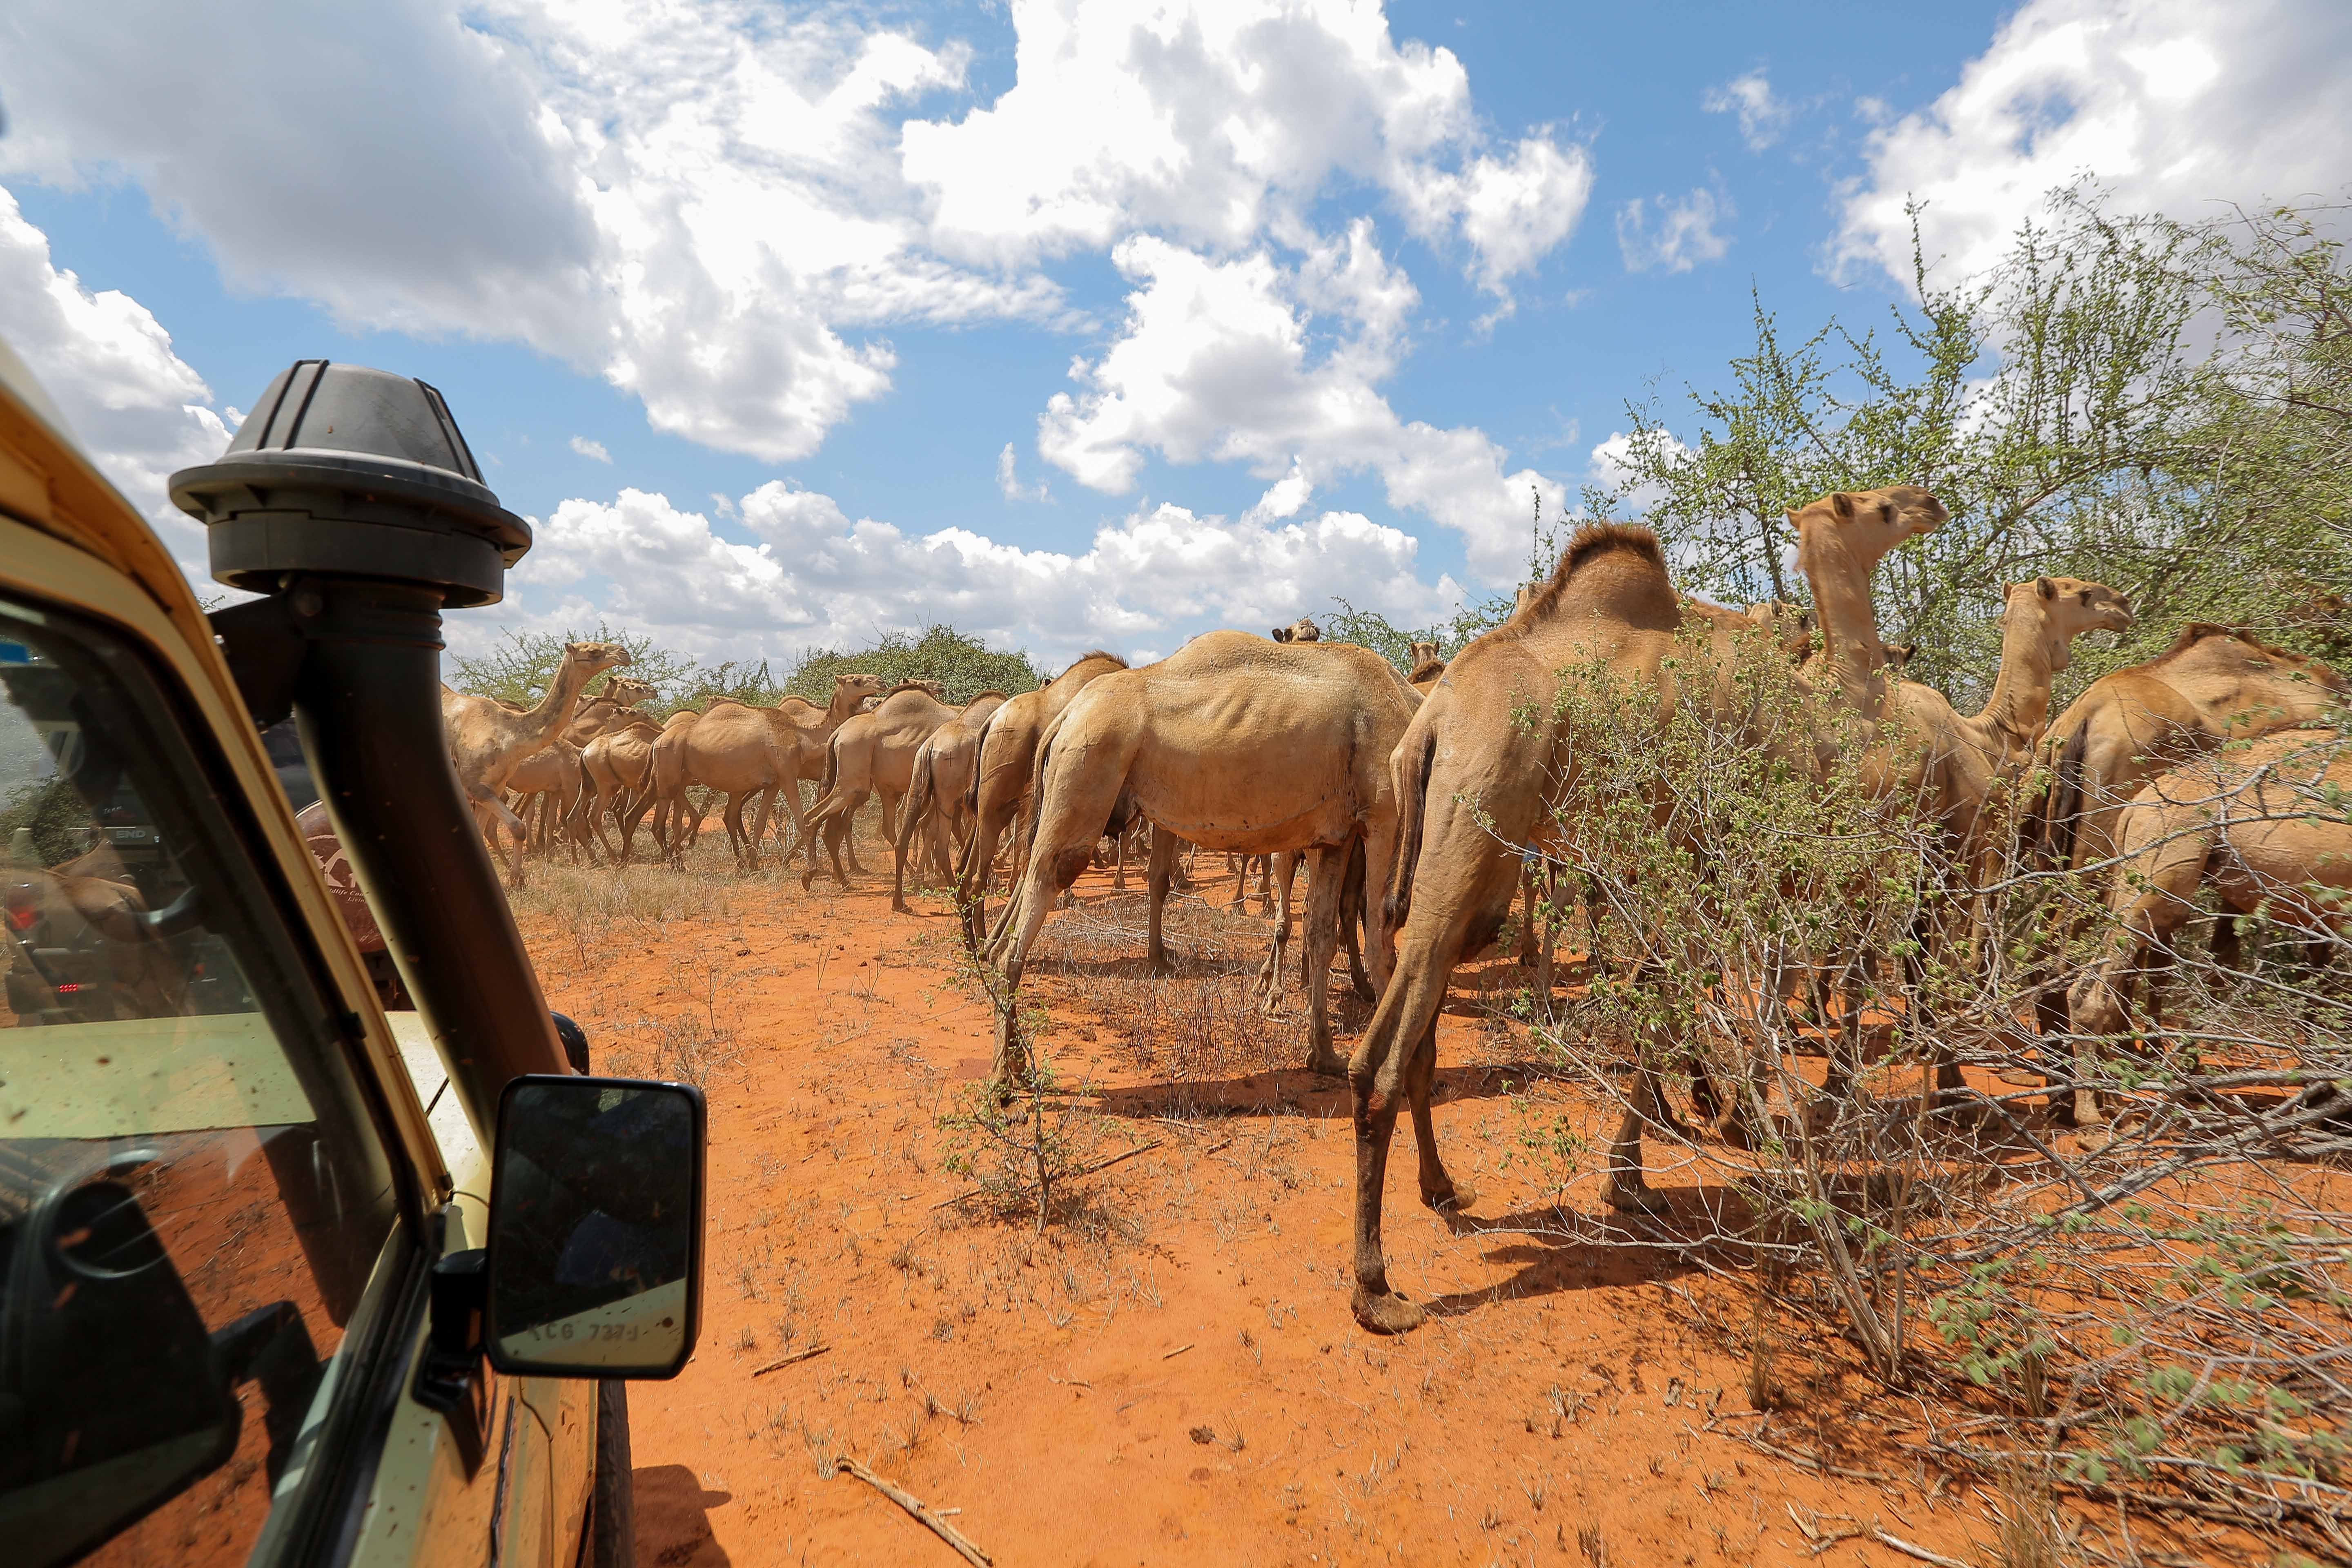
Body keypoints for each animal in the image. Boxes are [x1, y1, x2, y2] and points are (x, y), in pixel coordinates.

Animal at [442, 640, 631, 883]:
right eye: (592, 651)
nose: (624, 654)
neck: (508, 734)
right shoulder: (474, 785)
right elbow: (519, 826)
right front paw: (517, 879)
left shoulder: (494, 786)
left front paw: (517, 878)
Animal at [890, 691, 1011, 911]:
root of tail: (930, 747)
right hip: (948, 798)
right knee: (940, 845)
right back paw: (958, 894)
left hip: (919, 786)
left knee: (903, 840)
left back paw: (900, 902)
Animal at [952, 651, 1132, 947]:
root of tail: (990, 723)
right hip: (998, 798)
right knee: (977, 876)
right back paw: (982, 945)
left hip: (993, 803)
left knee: (964, 871)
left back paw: (973, 943)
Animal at [985, 631, 1421, 1081]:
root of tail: (1067, 715)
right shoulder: (1384, 814)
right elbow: (1382, 946)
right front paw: (1386, 1073)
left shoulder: (1337, 835)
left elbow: (1321, 935)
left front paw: (1325, 1056)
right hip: (1087, 764)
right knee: (1047, 883)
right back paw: (1003, 1075)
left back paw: (1015, 1057)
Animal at [1346, 487, 1946, 1335]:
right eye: (1877, 508)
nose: (1932, 503)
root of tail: (1431, 721)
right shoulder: (1721, 858)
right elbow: (1696, 999)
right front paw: (1667, 1155)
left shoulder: (1684, 865)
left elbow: (1671, 996)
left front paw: (1674, 1142)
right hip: (1478, 819)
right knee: (1386, 1054)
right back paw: (1377, 1289)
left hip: (1456, 850)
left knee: (1415, 1025)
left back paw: (1443, 1189)